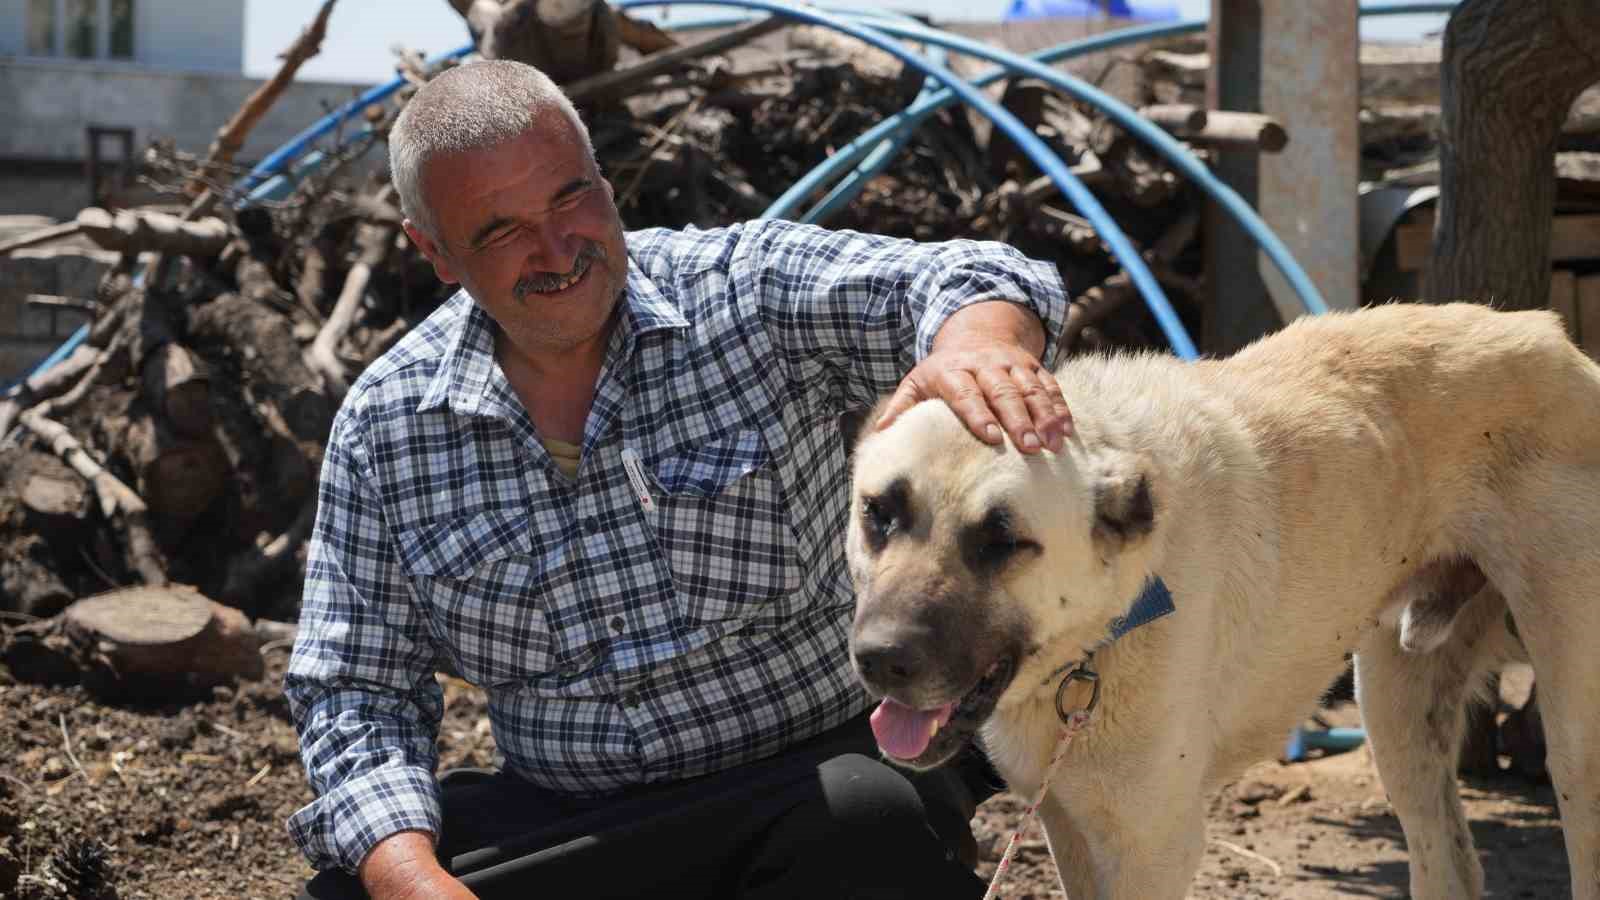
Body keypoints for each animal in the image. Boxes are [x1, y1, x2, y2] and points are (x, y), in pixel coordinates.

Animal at [851, 302, 1600, 896]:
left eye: (1003, 540)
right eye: (879, 513)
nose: (879, 659)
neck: (1108, 626)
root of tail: (1552, 333)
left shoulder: (1153, 847)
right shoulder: (1068, 821)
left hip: (1575, 746)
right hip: (1398, 712)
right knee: (1449, 863)